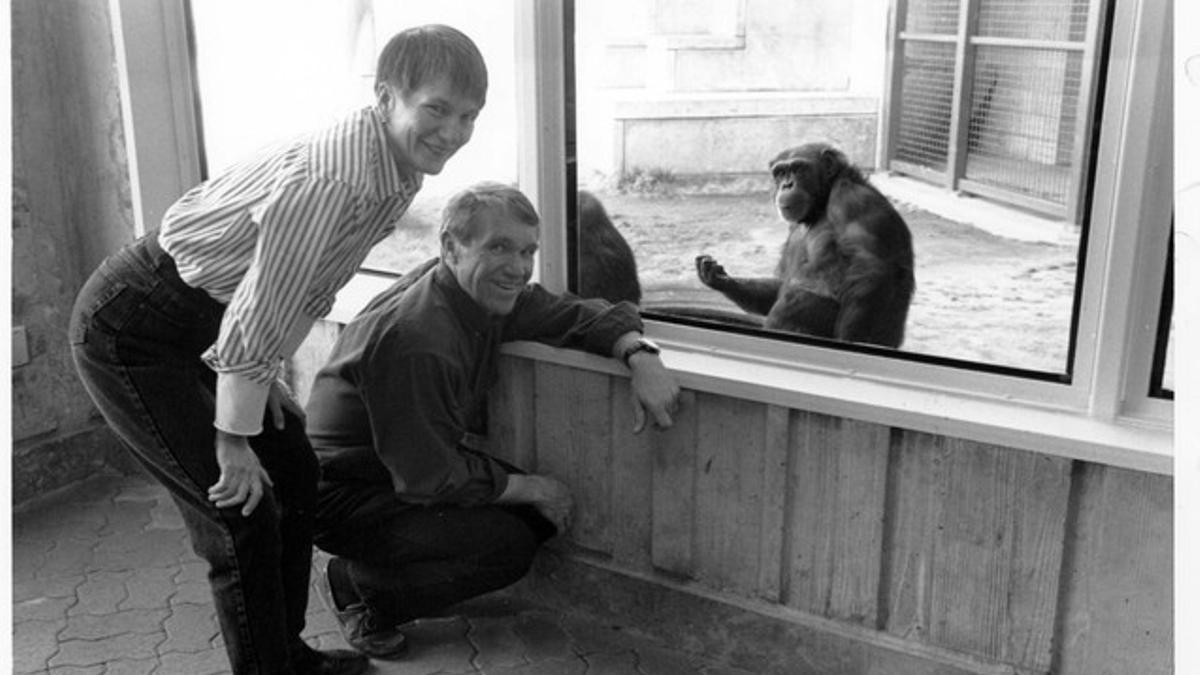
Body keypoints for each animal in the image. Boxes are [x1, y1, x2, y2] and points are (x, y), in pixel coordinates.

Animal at [696, 139, 907, 343]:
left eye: (798, 168)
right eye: (780, 173)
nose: (787, 185)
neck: (820, 205)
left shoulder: (855, 201)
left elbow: (872, 272)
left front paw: (850, 342)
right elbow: (780, 282)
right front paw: (719, 277)